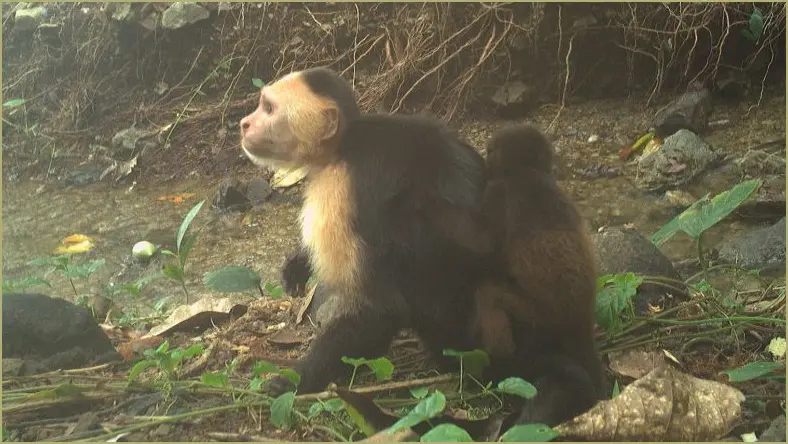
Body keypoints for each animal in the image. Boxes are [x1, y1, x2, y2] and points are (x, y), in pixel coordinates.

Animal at [239, 67, 491, 396]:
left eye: (268, 109)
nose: (244, 123)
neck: (341, 147)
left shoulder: (337, 192)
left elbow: (380, 308)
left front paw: (299, 379)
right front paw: (298, 263)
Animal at [467, 124, 609, 427]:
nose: (485, 154)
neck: (524, 171)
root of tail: (580, 321)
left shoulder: (497, 193)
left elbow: (482, 247)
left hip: (536, 316)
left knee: (488, 294)